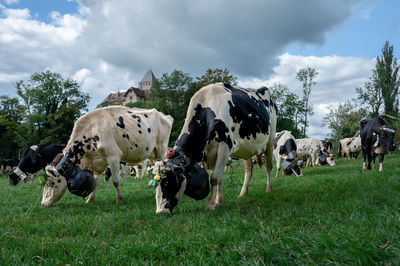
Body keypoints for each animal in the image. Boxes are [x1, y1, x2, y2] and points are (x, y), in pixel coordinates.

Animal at [38, 107, 173, 207]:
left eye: (51, 183)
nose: (43, 204)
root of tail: (165, 115)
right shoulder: (97, 161)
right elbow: (95, 181)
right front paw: (90, 199)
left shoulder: (113, 156)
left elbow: (115, 181)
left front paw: (119, 199)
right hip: (153, 153)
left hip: (162, 148)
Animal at [152, 83, 276, 214]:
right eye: (156, 185)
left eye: (167, 183)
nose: (160, 211)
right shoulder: (210, 153)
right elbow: (219, 177)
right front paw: (219, 200)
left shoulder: (225, 147)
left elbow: (215, 178)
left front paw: (211, 205)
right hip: (246, 147)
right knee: (248, 169)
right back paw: (243, 192)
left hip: (271, 139)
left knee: (268, 166)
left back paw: (269, 188)